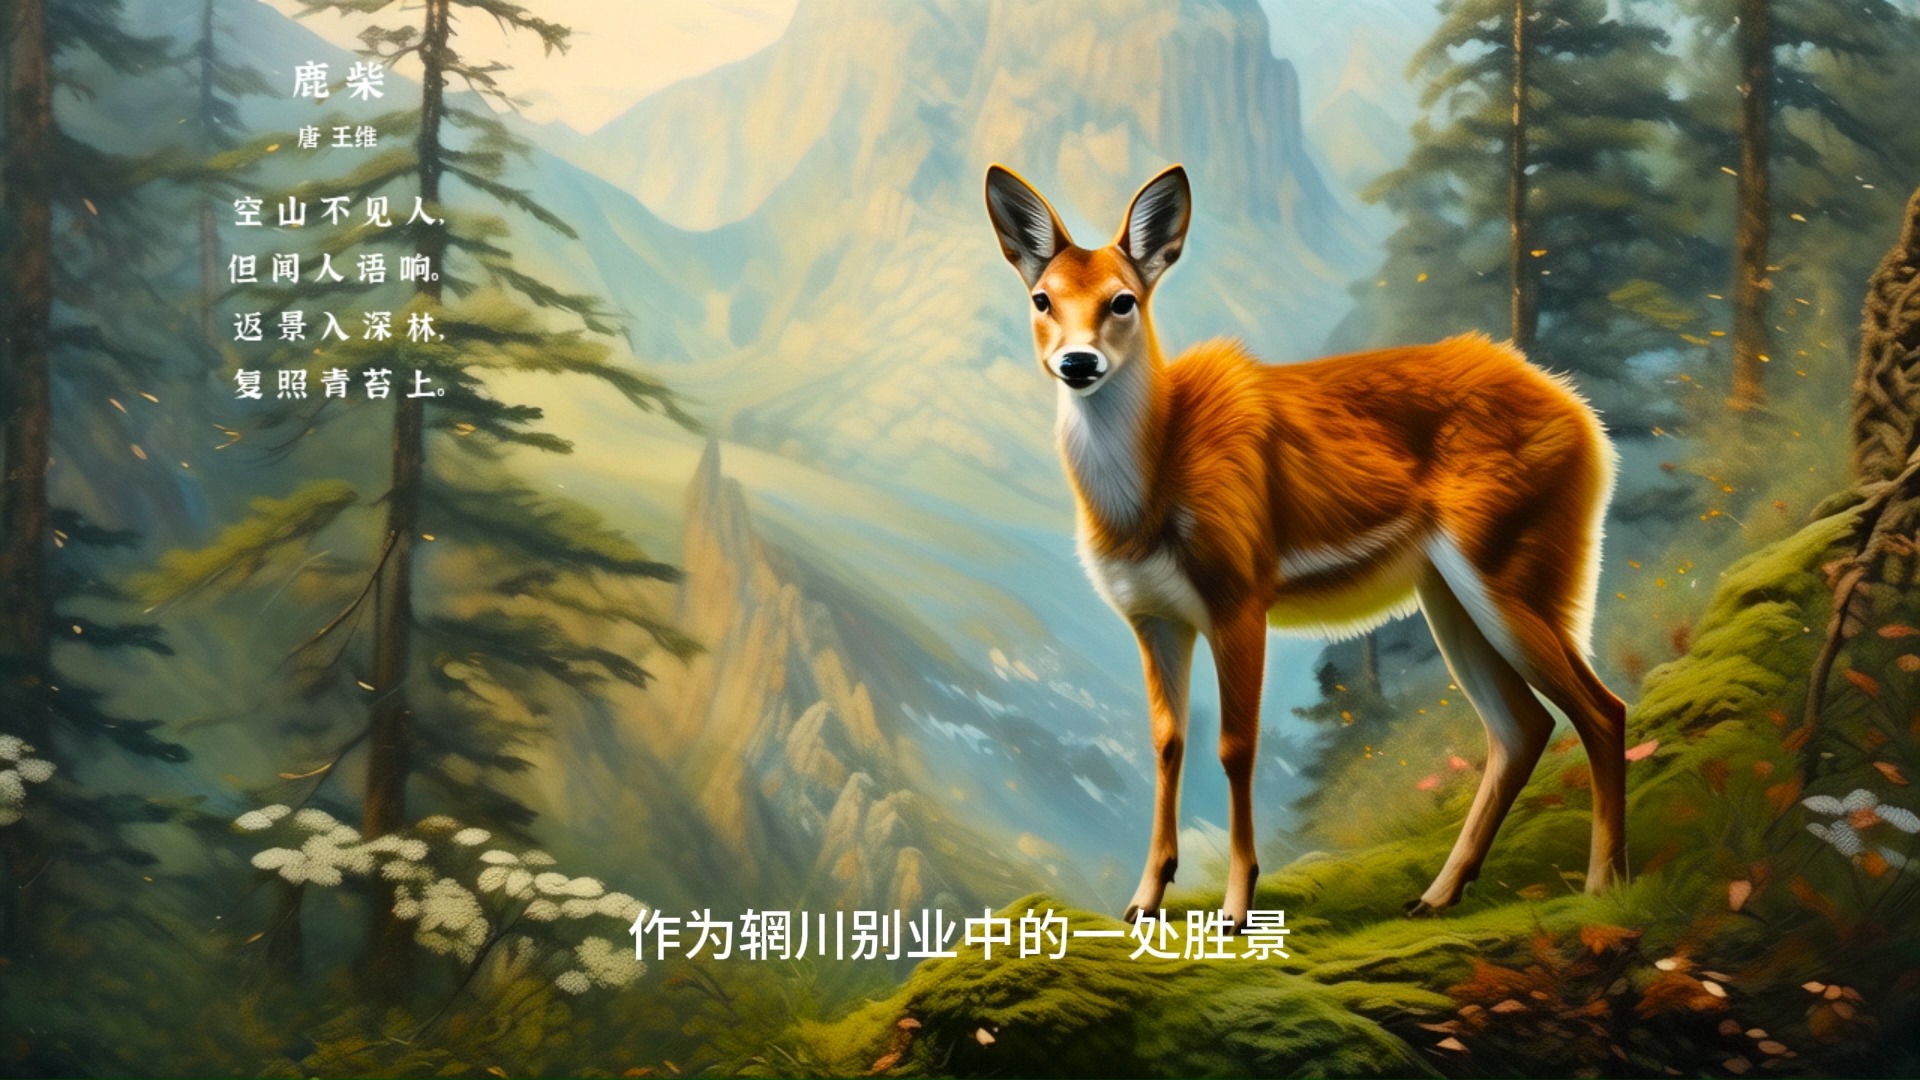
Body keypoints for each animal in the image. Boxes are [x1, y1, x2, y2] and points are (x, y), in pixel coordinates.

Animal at [984, 164, 1629, 929]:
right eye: (1042, 298)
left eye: (1123, 301)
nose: (1078, 362)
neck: (1150, 492)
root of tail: (1588, 424)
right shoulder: (1153, 617)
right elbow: (1168, 743)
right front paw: (1143, 899)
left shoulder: (1240, 597)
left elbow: (1235, 747)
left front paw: (1237, 907)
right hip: (1452, 596)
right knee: (1522, 726)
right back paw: (1437, 895)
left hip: (1512, 569)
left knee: (1601, 709)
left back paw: (1602, 886)